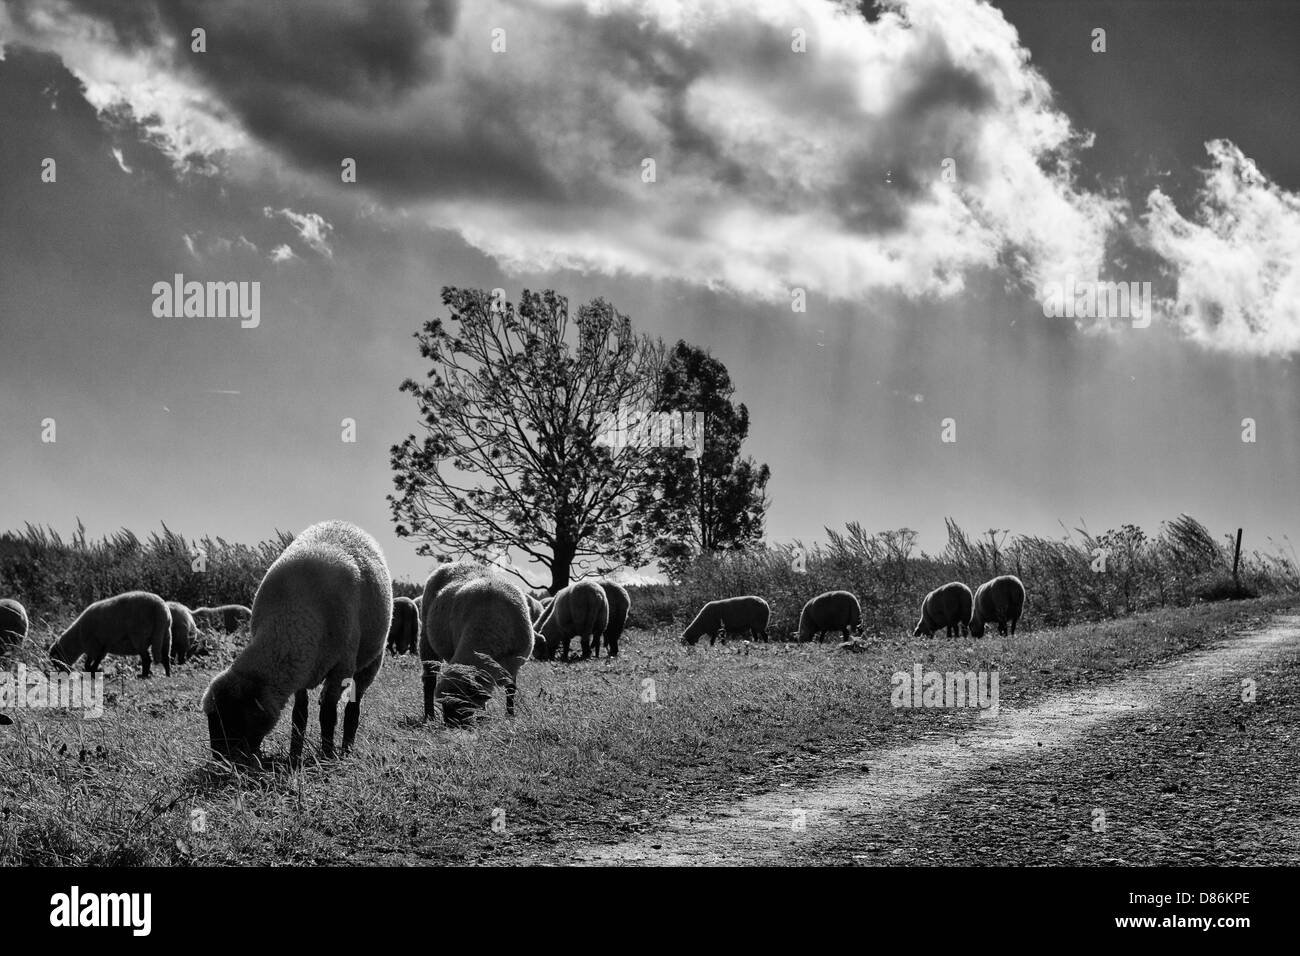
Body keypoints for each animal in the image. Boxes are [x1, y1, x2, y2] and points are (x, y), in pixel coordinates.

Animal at [197, 520, 390, 764]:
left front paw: (327, 756)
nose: (221, 762)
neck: (292, 615)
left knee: (353, 706)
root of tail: (343, 523)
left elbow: (328, 714)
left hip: (371, 661)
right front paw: (294, 754)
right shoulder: (300, 669)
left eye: (234, 720)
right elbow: (299, 714)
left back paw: (346, 748)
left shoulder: (341, 667)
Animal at [421, 564, 533, 728]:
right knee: (429, 680)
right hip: (426, 639)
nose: (452, 727)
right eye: (444, 705)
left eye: (463, 704)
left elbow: (510, 692)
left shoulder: (514, 665)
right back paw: (429, 716)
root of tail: (452, 564)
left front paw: (510, 716)